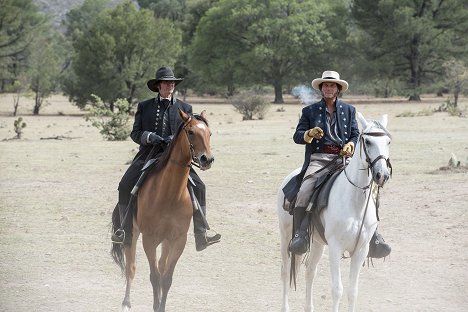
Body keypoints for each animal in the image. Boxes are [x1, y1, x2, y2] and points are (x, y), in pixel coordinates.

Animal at [112, 108, 215, 310]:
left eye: (209, 133)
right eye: (191, 132)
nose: (207, 159)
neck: (170, 194)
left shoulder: (178, 240)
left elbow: (166, 278)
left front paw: (161, 306)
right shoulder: (149, 239)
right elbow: (153, 276)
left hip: (166, 240)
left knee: (160, 266)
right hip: (131, 234)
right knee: (131, 267)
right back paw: (126, 303)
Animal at [278, 113, 392, 312]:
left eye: (388, 142)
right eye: (368, 141)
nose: (382, 175)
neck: (354, 202)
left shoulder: (361, 249)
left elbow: (352, 291)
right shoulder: (335, 247)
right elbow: (337, 289)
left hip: (317, 242)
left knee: (310, 272)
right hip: (286, 236)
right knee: (285, 271)